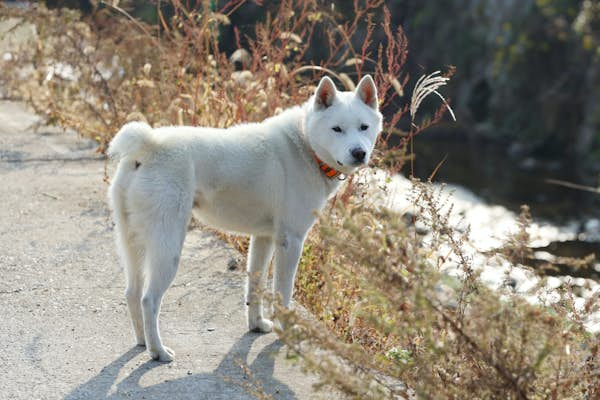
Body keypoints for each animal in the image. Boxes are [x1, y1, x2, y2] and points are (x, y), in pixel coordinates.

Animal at [107, 73, 380, 360]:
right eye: (337, 129)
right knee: (149, 300)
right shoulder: (290, 241)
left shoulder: (263, 238)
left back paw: (142, 342)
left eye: (364, 127)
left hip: (133, 243)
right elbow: (283, 292)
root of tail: (148, 146)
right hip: (167, 249)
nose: (359, 153)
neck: (304, 143)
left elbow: (255, 286)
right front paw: (286, 332)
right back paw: (158, 351)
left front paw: (256, 325)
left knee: (132, 293)